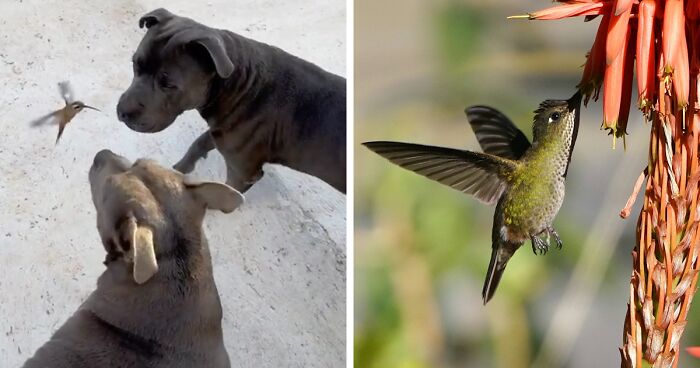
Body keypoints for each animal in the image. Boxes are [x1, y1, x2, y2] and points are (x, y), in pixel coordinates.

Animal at [117, 7, 348, 193]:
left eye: (168, 85)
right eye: (135, 64)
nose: (122, 111)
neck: (241, 84)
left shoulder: (242, 172)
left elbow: (230, 192)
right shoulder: (222, 131)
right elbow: (199, 144)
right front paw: (180, 170)